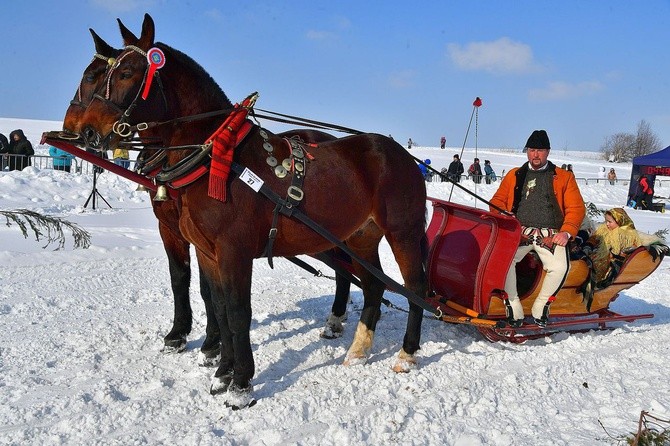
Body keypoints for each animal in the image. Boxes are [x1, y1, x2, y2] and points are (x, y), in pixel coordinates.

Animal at [76, 13, 428, 410]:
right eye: (99, 74)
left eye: (126, 72)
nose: (87, 132)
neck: (216, 158)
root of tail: (401, 154)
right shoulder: (208, 252)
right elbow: (219, 306)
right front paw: (222, 372)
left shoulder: (235, 252)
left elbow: (237, 312)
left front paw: (241, 384)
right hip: (359, 237)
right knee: (372, 285)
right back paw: (358, 350)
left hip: (402, 232)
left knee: (414, 287)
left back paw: (407, 353)